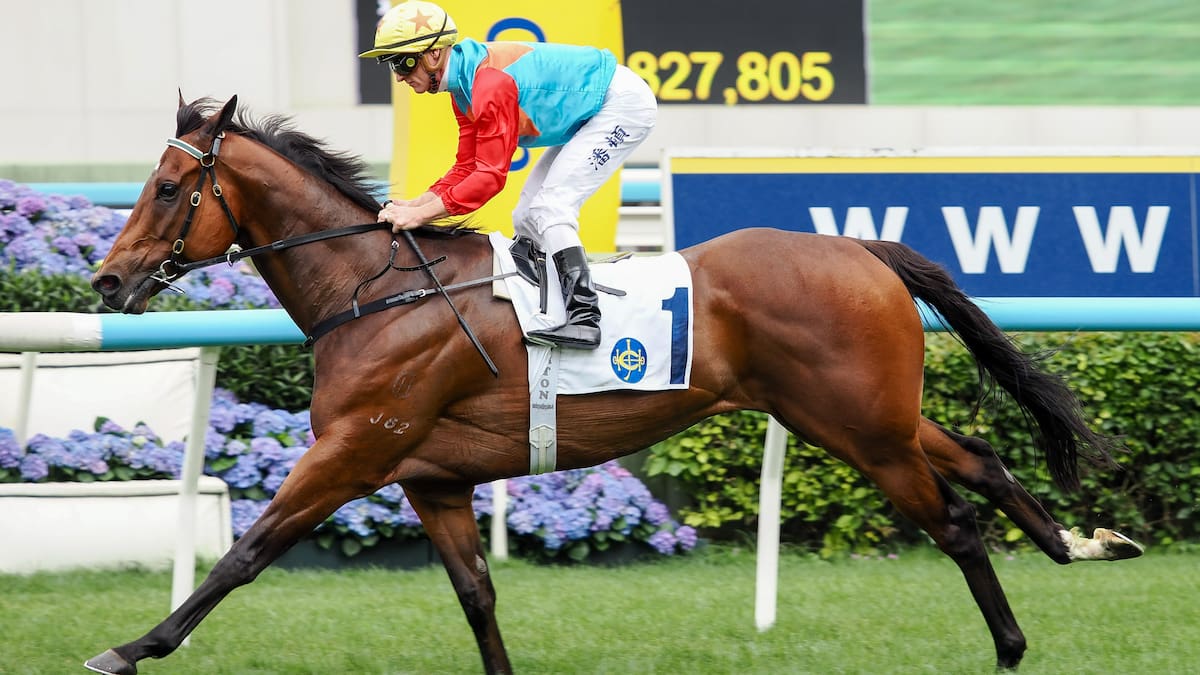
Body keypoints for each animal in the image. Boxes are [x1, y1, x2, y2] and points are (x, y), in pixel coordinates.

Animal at [84, 95, 1143, 674]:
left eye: (169, 190)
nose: (105, 280)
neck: (375, 291)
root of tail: (859, 247)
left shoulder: (354, 450)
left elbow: (244, 553)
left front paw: (129, 647)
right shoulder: (432, 477)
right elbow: (476, 594)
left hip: (856, 425)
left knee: (955, 522)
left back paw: (1010, 644)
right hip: (864, 411)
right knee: (983, 456)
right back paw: (1081, 542)